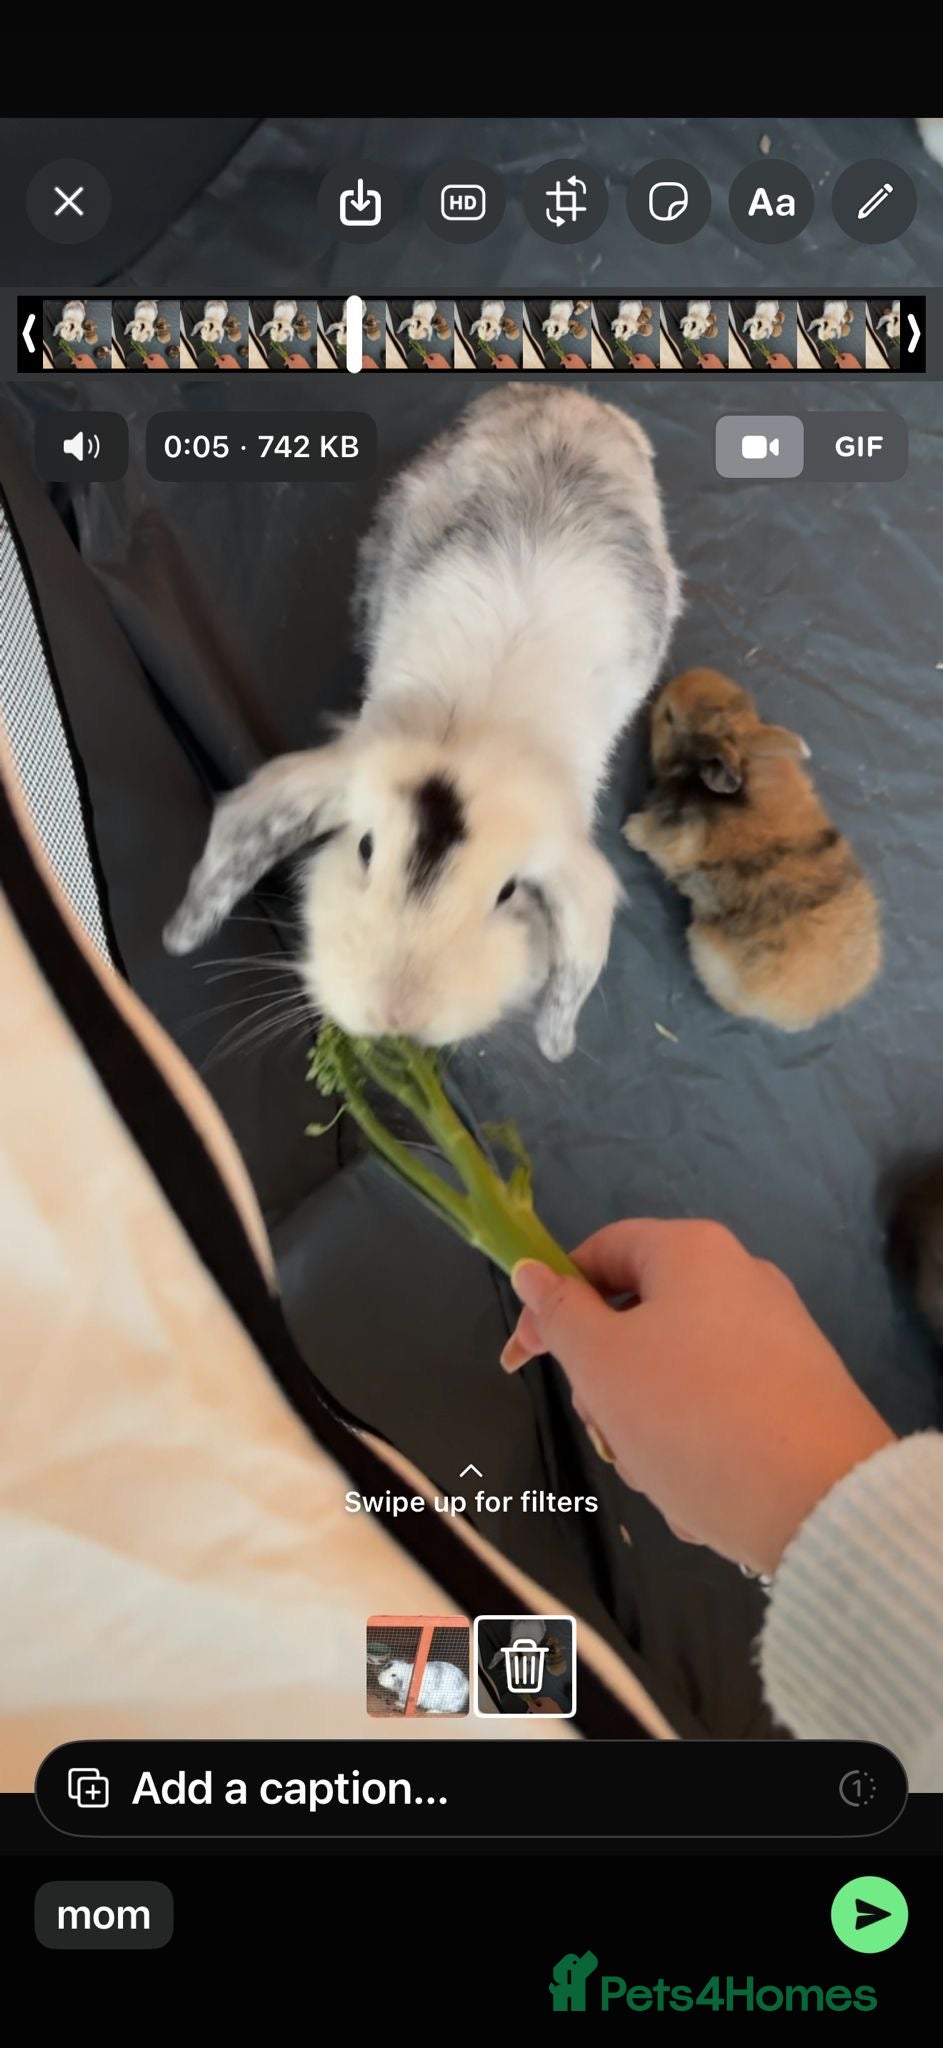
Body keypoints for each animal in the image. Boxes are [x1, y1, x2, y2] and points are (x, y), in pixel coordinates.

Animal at [624, 668, 882, 1031]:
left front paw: (629, 830)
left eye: (669, 717)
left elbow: (651, 837)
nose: (667, 685)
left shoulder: (672, 834)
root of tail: (823, 1004)